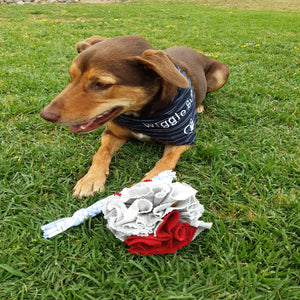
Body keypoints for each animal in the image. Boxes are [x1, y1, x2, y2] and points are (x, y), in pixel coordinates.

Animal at [40, 35, 230, 197]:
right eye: (71, 76)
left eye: (101, 84)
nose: (45, 115)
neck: (143, 117)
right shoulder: (113, 134)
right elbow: (100, 153)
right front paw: (91, 179)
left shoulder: (182, 139)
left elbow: (166, 162)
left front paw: (153, 182)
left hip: (221, 73)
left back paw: (199, 106)